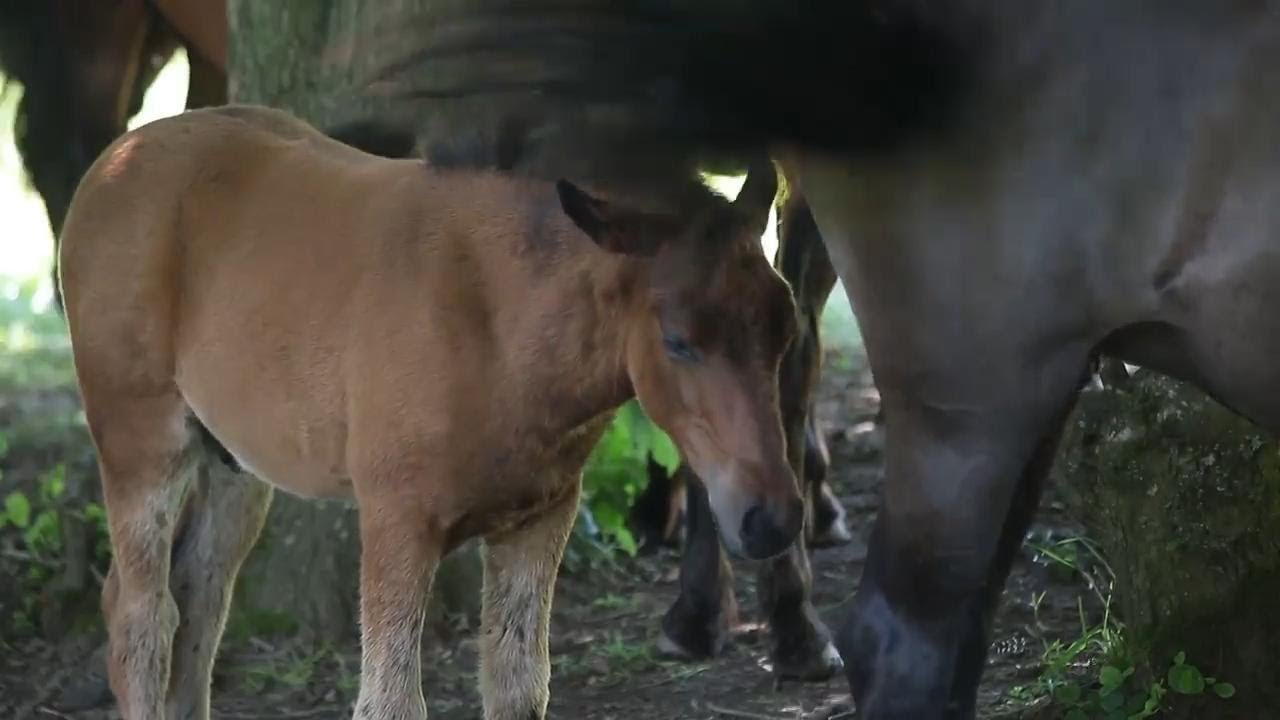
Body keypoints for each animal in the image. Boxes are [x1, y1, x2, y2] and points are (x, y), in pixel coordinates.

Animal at [59, 103, 805, 720]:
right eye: (678, 340)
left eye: (785, 327)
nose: (772, 518)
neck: (495, 323)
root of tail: (113, 161)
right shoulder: (397, 523)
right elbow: (390, 702)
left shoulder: (539, 519)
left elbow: (518, 686)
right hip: (140, 442)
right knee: (141, 619)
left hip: (233, 466)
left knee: (200, 597)